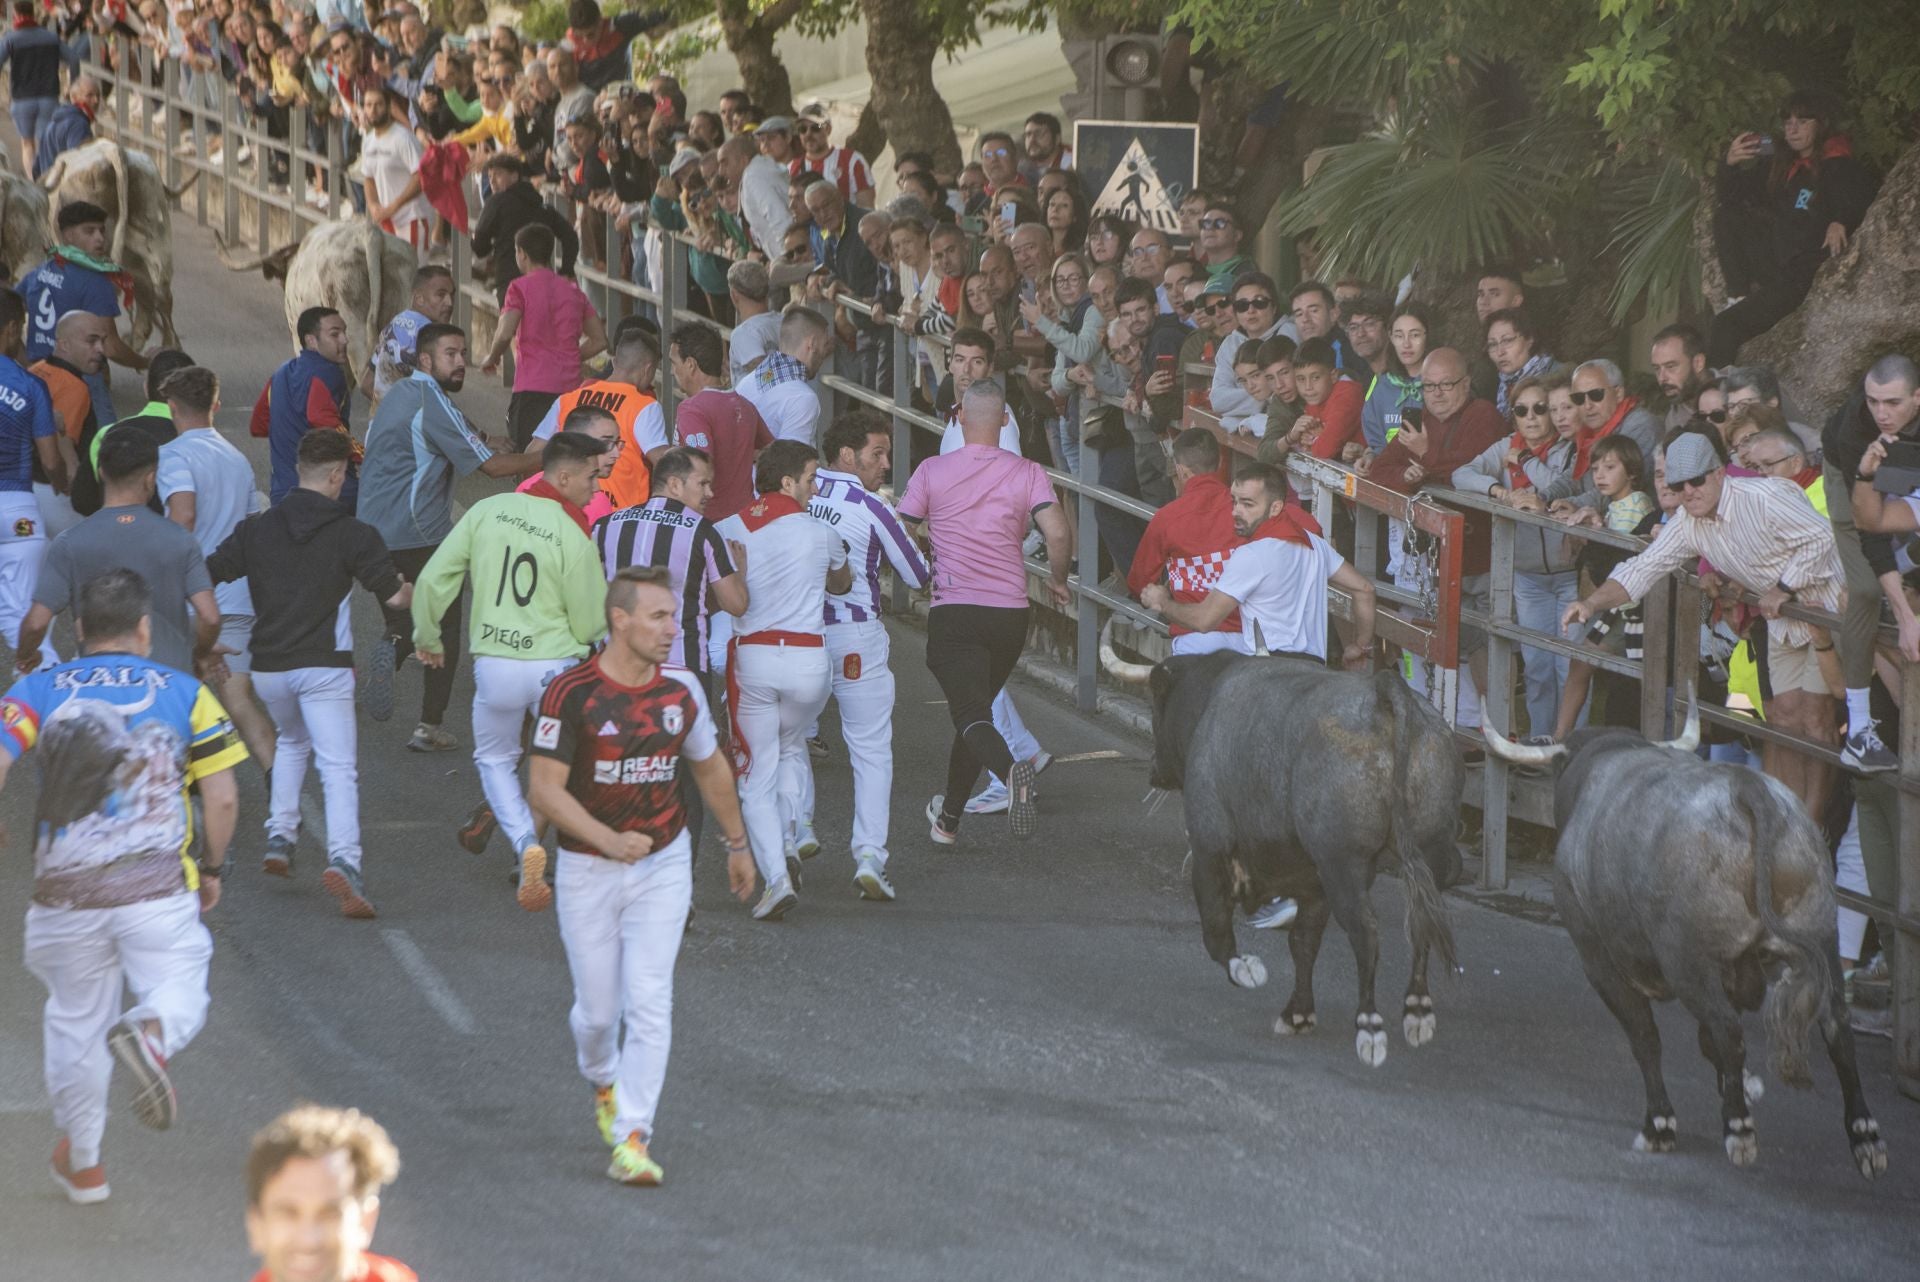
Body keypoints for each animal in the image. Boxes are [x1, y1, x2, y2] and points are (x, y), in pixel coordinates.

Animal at [1144, 656, 1459, 1067]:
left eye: (1155, 707)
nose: (1153, 769)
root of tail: (1384, 694)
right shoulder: (1312, 882)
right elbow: (1302, 943)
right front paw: (1298, 1013)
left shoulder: (1210, 850)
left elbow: (1215, 933)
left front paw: (1248, 970)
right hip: (1427, 852)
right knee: (1423, 924)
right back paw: (1418, 1009)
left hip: (1344, 864)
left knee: (1366, 933)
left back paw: (1370, 1025)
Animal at [1482, 706, 1889, 1174]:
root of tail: (1748, 789)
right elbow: (1707, 1043)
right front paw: (1740, 1086)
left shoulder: (1599, 960)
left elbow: (1647, 1037)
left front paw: (1661, 1123)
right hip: (1820, 938)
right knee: (1835, 1028)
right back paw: (1865, 1136)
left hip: (1688, 963)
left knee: (1729, 1031)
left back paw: (1738, 1129)